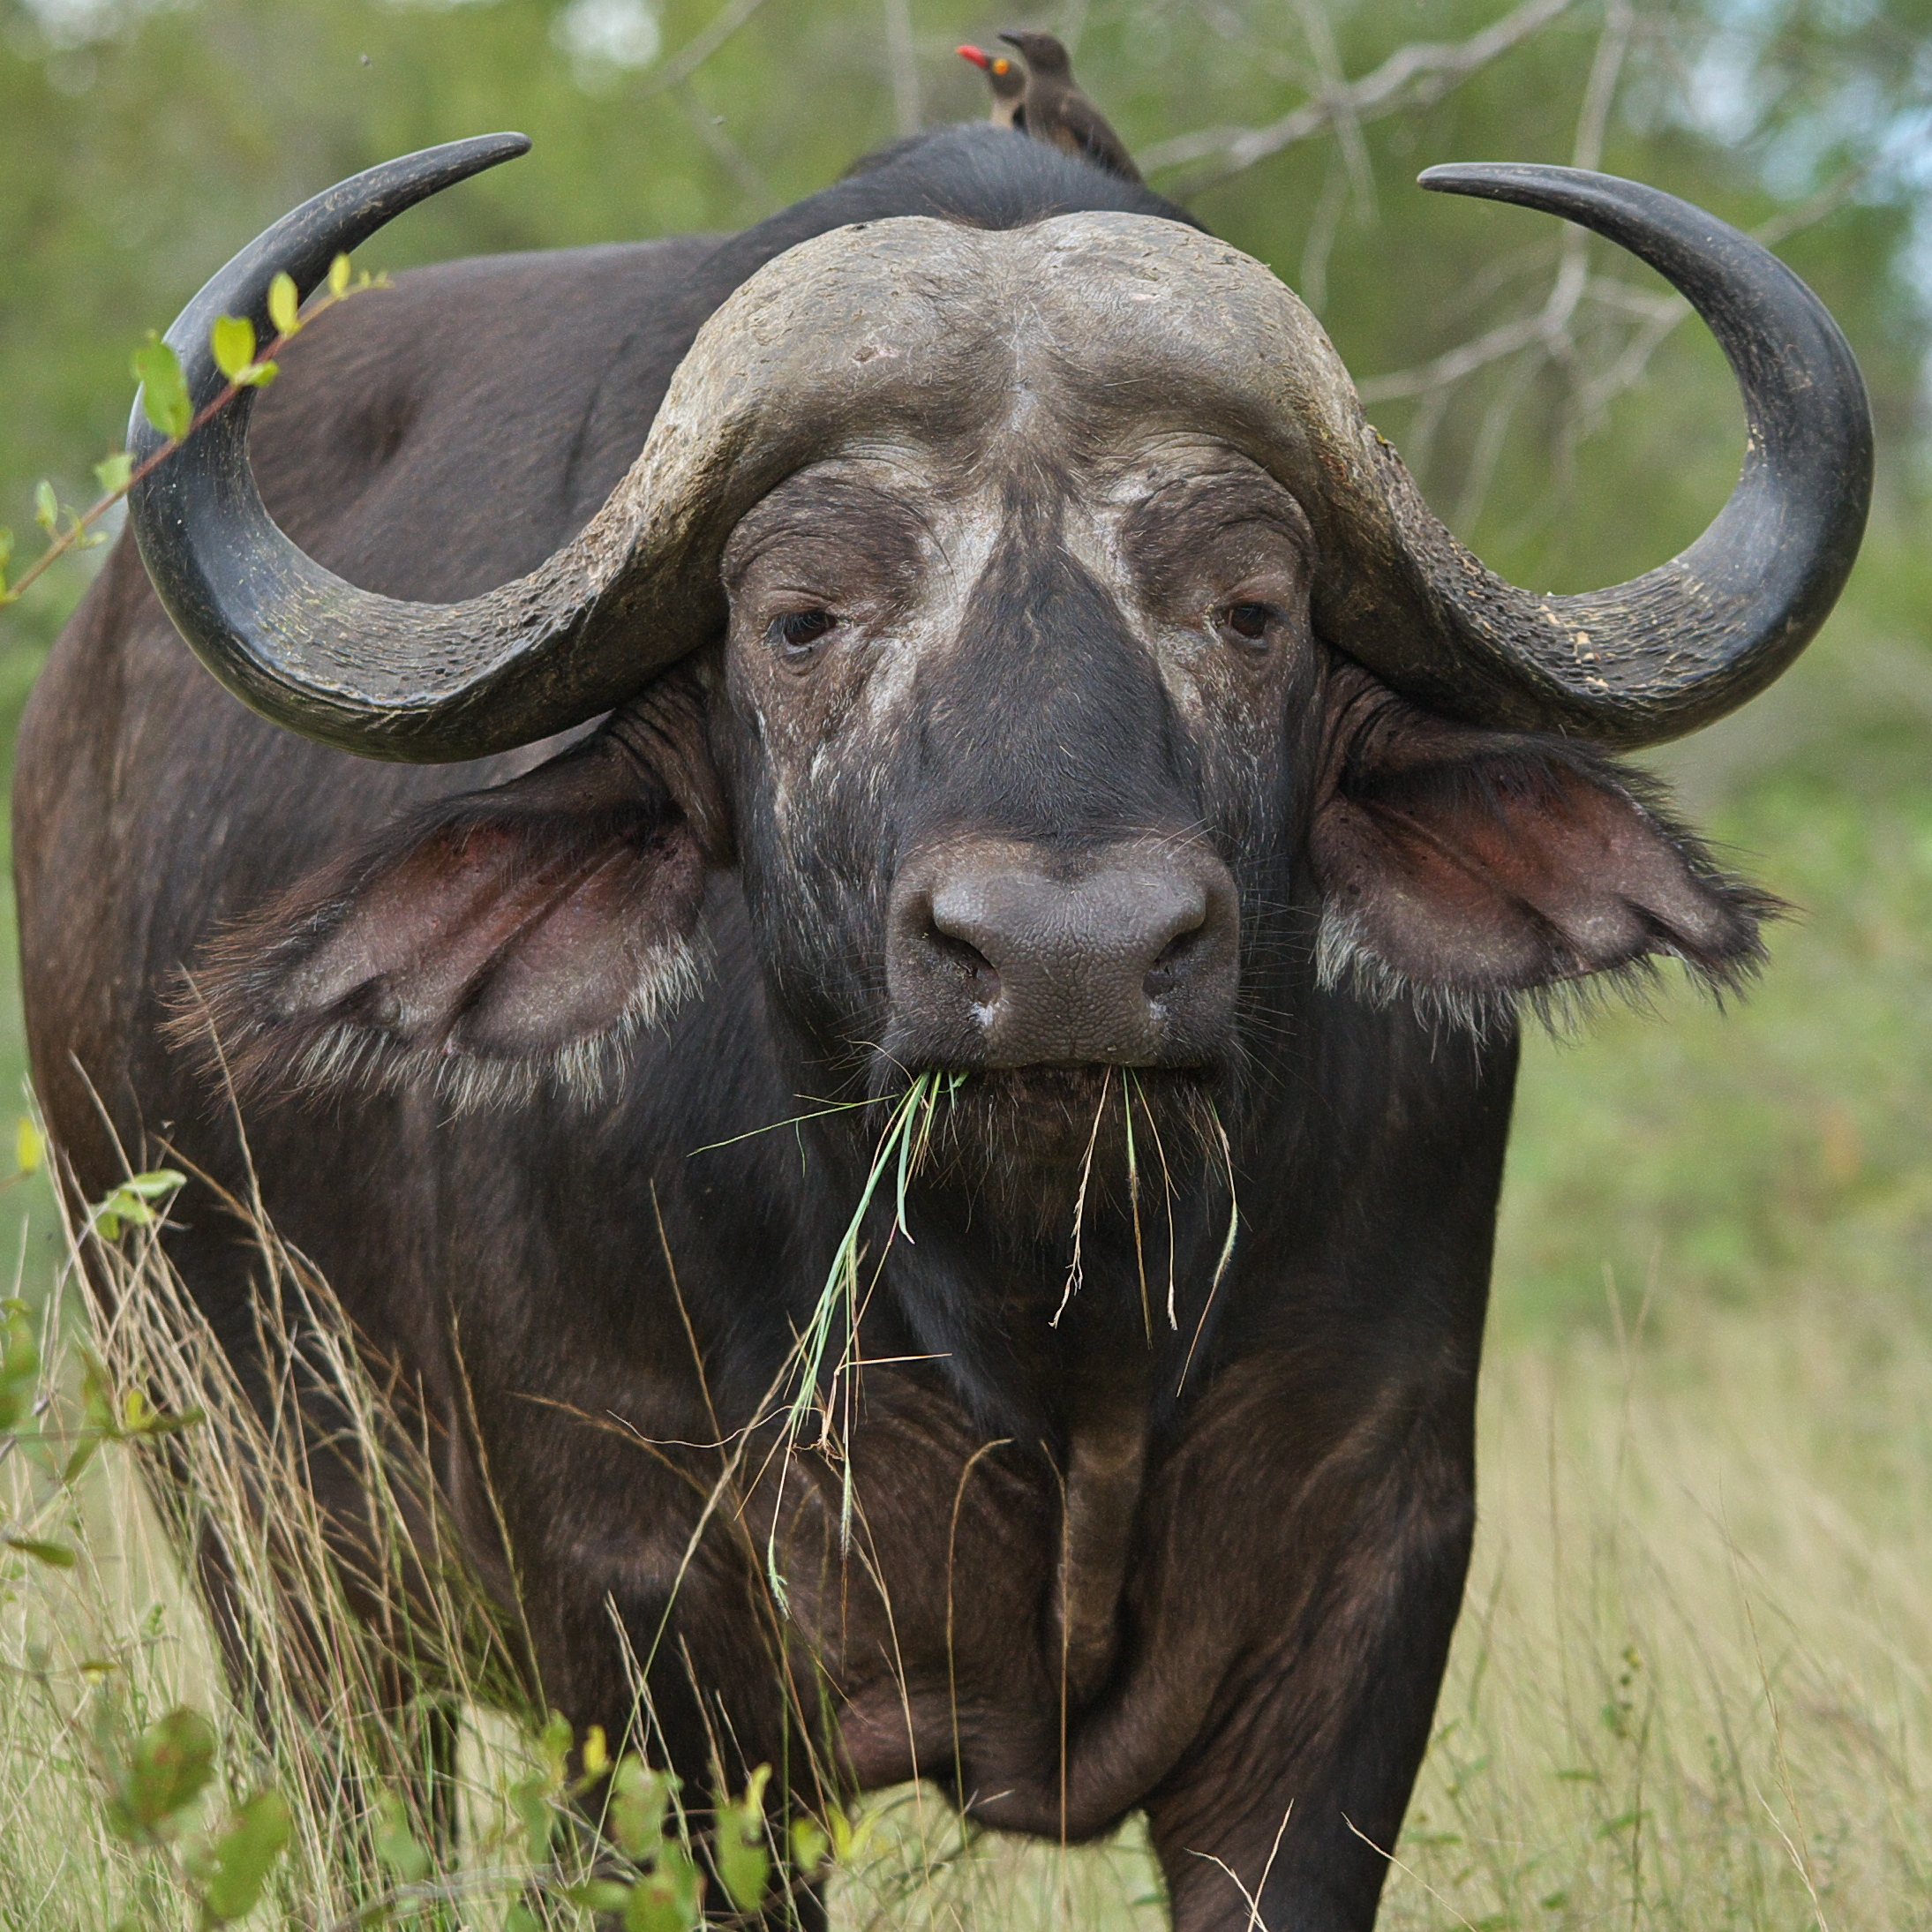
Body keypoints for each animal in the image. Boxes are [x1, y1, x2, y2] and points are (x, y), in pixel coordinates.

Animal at [15, 121, 1869, 1930]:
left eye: (1249, 606)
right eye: (799, 616)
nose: (1068, 956)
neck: (1053, 1305)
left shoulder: (1366, 1585)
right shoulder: (650, 1638)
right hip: (276, 1566)